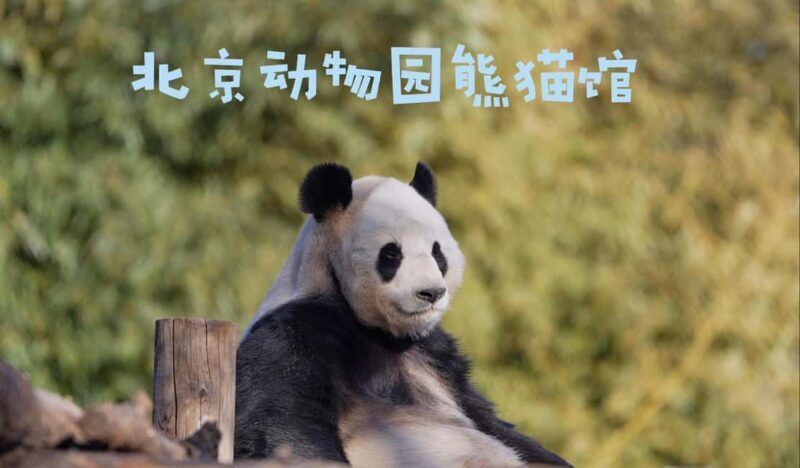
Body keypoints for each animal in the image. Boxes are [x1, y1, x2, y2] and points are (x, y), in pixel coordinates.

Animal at [235, 162, 571, 467]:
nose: (431, 293)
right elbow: (284, 425)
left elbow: (493, 423)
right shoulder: (296, 332)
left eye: (437, 252)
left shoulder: (435, 354)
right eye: (392, 253)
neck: (377, 330)